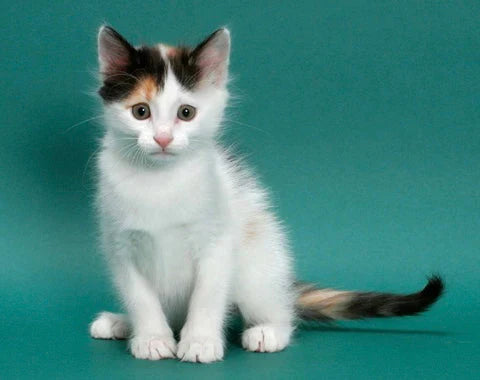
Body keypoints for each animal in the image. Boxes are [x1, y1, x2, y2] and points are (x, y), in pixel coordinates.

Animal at [89, 25, 442, 364]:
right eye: (141, 111)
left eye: (186, 113)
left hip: (258, 263)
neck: (160, 179)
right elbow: (141, 297)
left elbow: (207, 295)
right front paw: (152, 338)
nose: (163, 139)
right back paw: (121, 323)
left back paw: (267, 331)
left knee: (279, 310)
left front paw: (200, 341)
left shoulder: (217, 241)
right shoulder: (120, 246)